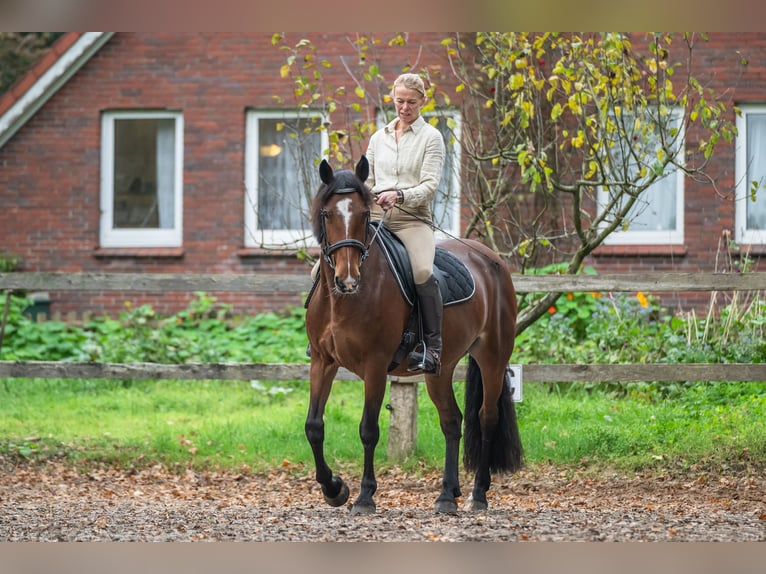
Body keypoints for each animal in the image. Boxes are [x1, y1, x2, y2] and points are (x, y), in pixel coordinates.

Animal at [304, 156, 522, 514]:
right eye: (327, 214)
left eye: (363, 214)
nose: (347, 280)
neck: (344, 300)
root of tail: (491, 259)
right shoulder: (322, 361)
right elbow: (314, 426)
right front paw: (334, 489)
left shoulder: (375, 365)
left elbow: (368, 430)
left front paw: (364, 496)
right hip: (440, 368)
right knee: (452, 421)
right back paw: (447, 495)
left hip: (492, 355)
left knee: (486, 417)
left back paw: (478, 494)